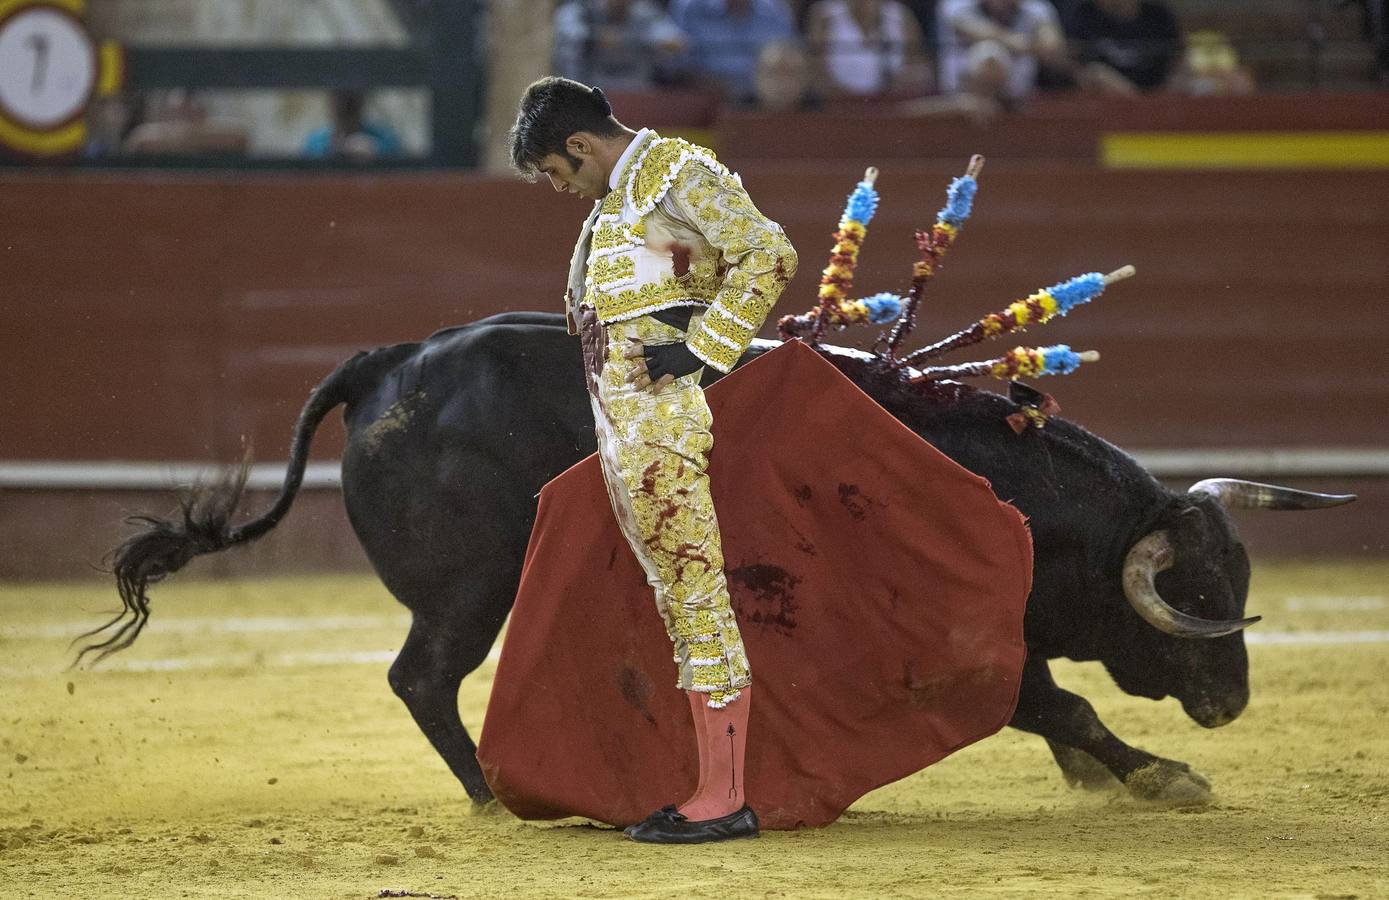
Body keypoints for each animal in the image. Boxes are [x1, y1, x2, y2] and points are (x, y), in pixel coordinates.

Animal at [89, 311, 1355, 811]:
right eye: (1196, 592)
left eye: (1241, 580)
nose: (1233, 703)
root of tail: (387, 363)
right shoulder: (943, 637)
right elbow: (1056, 703)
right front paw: (1158, 774)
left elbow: (1049, 703)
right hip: (472, 587)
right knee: (423, 680)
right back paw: (497, 797)